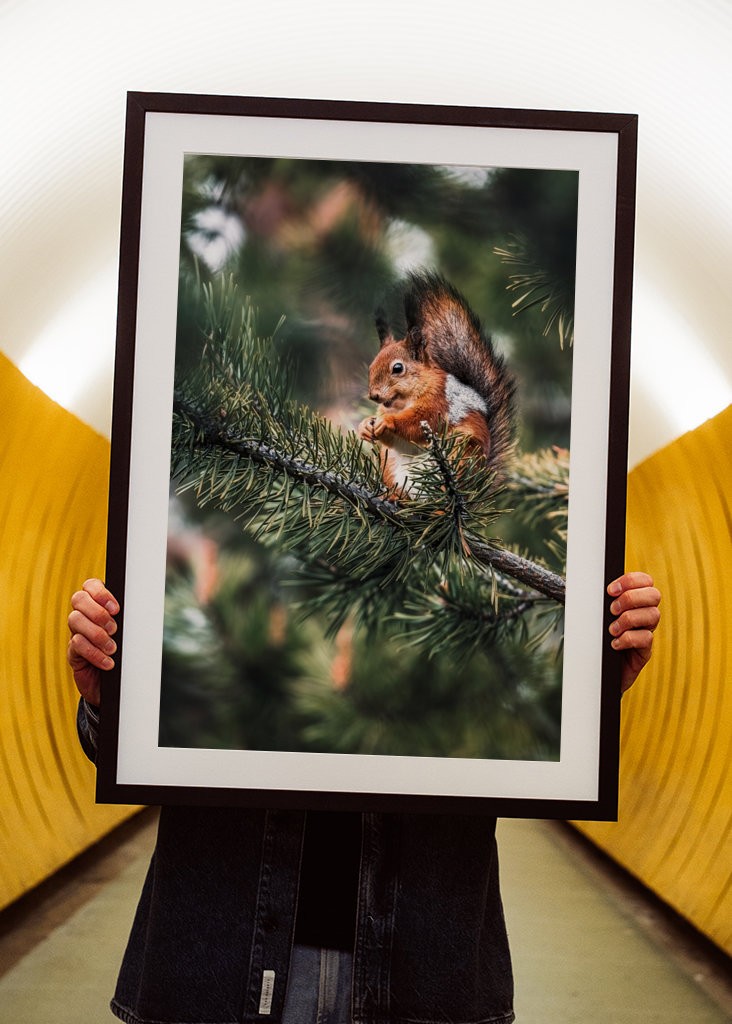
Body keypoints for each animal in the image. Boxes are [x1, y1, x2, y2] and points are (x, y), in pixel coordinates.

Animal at [357, 272, 516, 494]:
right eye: (371, 366)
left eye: (397, 368)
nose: (374, 396)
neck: (402, 403)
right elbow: (393, 439)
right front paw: (364, 426)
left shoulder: (438, 401)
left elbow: (419, 421)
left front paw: (388, 421)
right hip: (390, 466)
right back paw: (394, 498)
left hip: (461, 455)